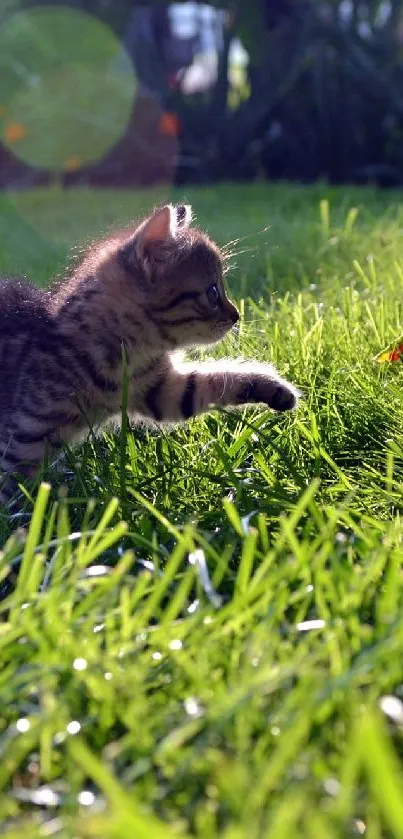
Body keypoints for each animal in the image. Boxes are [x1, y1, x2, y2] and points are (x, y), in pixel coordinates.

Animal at [0, 203, 300, 506]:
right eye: (213, 292)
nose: (237, 315)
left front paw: (277, 390)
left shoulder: (162, 391)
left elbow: (217, 381)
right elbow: (11, 487)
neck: (123, 358)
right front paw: (22, 517)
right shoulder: (24, 437)